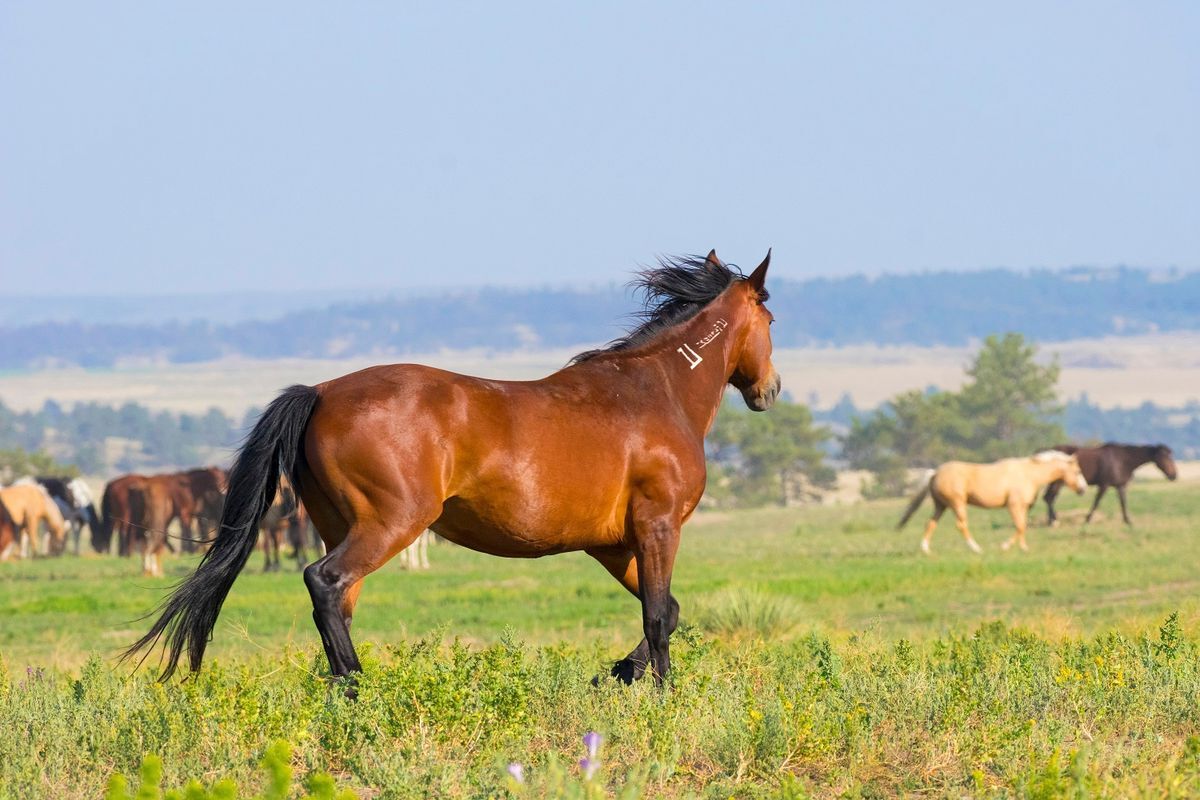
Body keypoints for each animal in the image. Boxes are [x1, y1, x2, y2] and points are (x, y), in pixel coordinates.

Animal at [128, 250, 780, 689]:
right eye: (770, 322)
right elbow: (659, 616)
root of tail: (319, 393)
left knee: (335, 602)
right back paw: (358, 687)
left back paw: (342, 689)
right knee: (325, 582)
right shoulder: (657, 527)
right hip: (391, 524)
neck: (655, 392)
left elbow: (667, 611)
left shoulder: (614, 545)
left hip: (342, 525)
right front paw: (661, 693)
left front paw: (617, 673)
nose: (770, 389)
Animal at [897, 451, 1088, 554]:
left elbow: (1023, 526)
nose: (1083, 489)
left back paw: (926, 550)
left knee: (930, 523)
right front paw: (1005, 546)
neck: (1029, 474)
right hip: (957, 504)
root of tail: (935, 472)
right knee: (961, 525)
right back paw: (976, 548)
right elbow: (1019, 526)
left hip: (941, 505)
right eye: (1077, 471)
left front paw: (1024, 548)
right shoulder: (1013, 505)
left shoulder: (1023, 507)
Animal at [1042, 443, 1177, 526]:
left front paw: (1128, 521)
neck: (1122, 460)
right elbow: (1096, 502)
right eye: (1165, 457)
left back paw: (1051, 521)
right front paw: (1087, 519)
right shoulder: (1104, 485)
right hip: (1057, 483)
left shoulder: (1120, 486)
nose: (1174, 475)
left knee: (1049, 498)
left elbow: (1123, 503)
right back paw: (1053, 521)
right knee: (1049, 498)